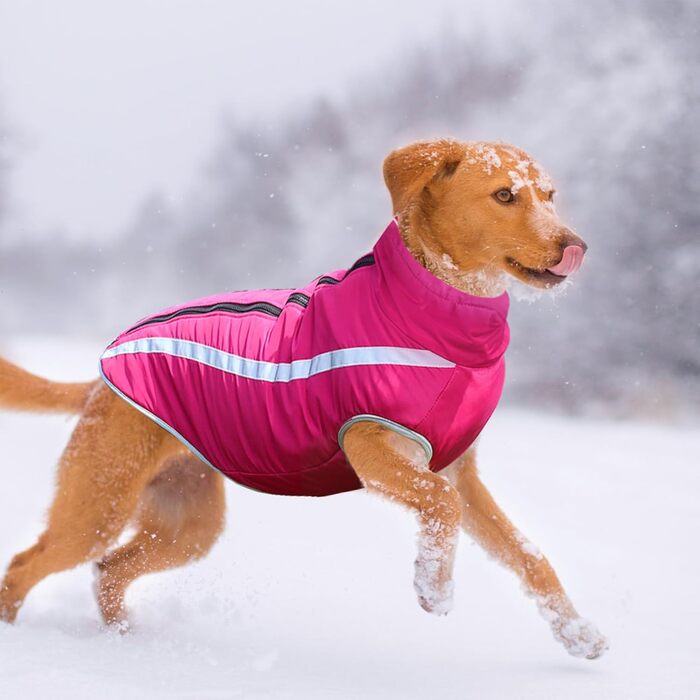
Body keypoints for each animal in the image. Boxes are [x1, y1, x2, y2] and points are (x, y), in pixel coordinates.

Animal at [0, 139, 608, 660]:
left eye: (550, 195)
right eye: (504, 195)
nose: (576, 247)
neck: (441, 319)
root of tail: (98, 383)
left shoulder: (458, 470)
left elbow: (529, 556)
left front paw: (577, 632)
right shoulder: (371, 446)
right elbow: (440, 505)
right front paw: (433, 586)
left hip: (186, 524)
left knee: (109, 570)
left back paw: (123, 639)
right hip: (98, 505)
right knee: (25, 565)